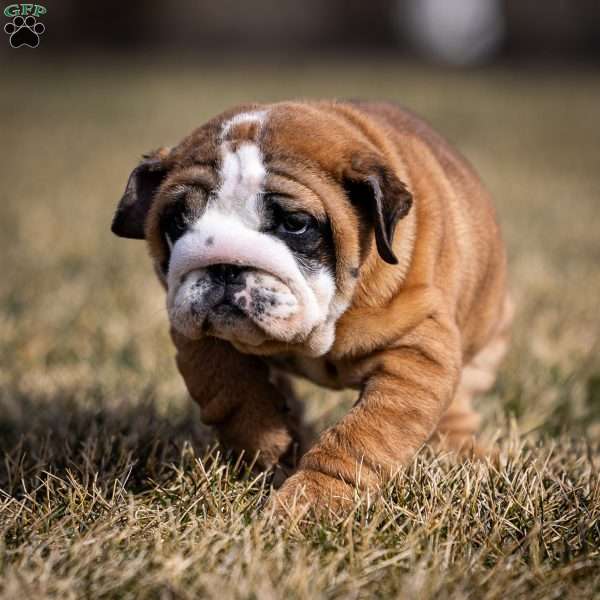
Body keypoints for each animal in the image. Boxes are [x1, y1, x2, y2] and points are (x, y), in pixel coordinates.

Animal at [111, 102, 510, 516]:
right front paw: (272, 450)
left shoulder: (417, 353)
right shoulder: (198, 339)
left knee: (457, 409)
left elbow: (364, 436)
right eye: (178, 221)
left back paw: (461, 453)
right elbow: (229, 389)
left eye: (295, 223)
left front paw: (313, 498)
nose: (223, 265)